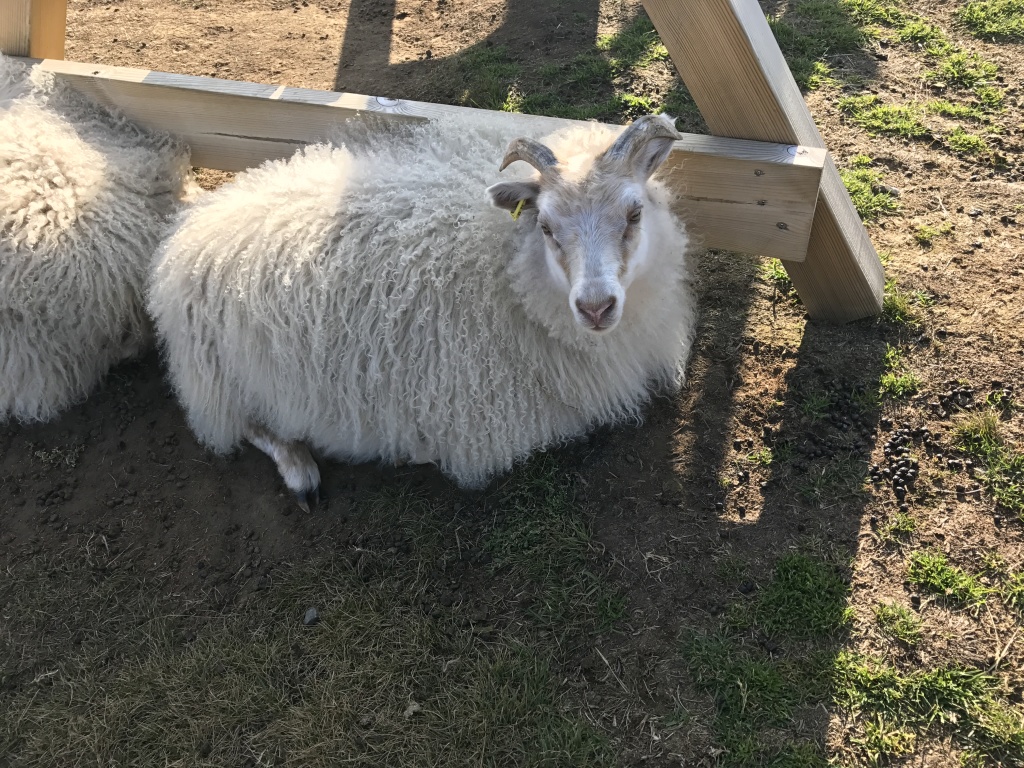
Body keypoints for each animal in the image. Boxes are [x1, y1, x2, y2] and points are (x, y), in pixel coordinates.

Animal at [148, 111, 697, 510]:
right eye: (545, 226)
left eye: (634, 213)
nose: (595, 307)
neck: (506, 266)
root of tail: (186, 236)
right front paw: (417, 450)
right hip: (227, 377)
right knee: (245, 426)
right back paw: (304, 470)